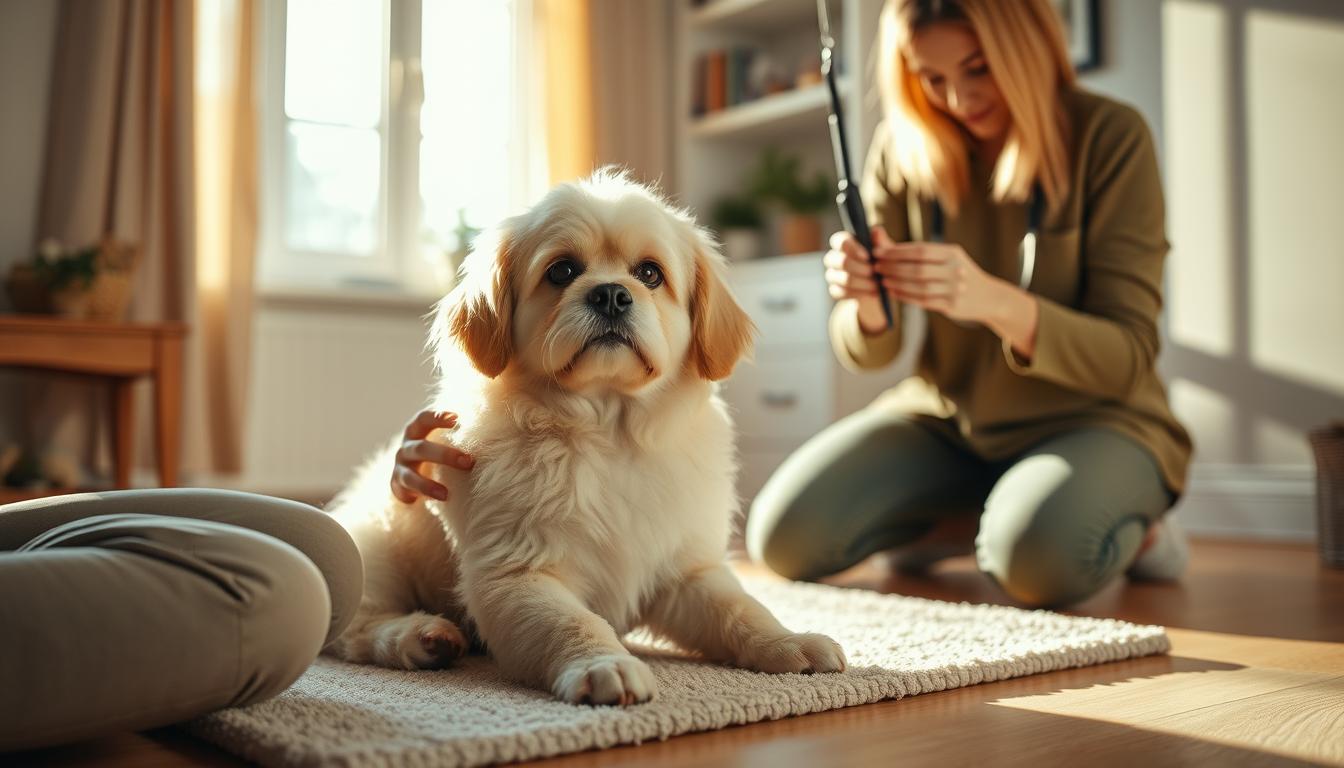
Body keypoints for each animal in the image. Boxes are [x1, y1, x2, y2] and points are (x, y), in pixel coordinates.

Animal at [326, 171, 844, 704]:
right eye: (562, 271)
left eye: (650, 274)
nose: (611, 293)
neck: (609, 432)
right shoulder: (517, 572)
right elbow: (570, 623)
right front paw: (605, 666)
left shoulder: (687, 570)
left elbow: (742, 610)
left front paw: (790, 643)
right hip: (374, 547)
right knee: (352, 629)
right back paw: (421, 636)